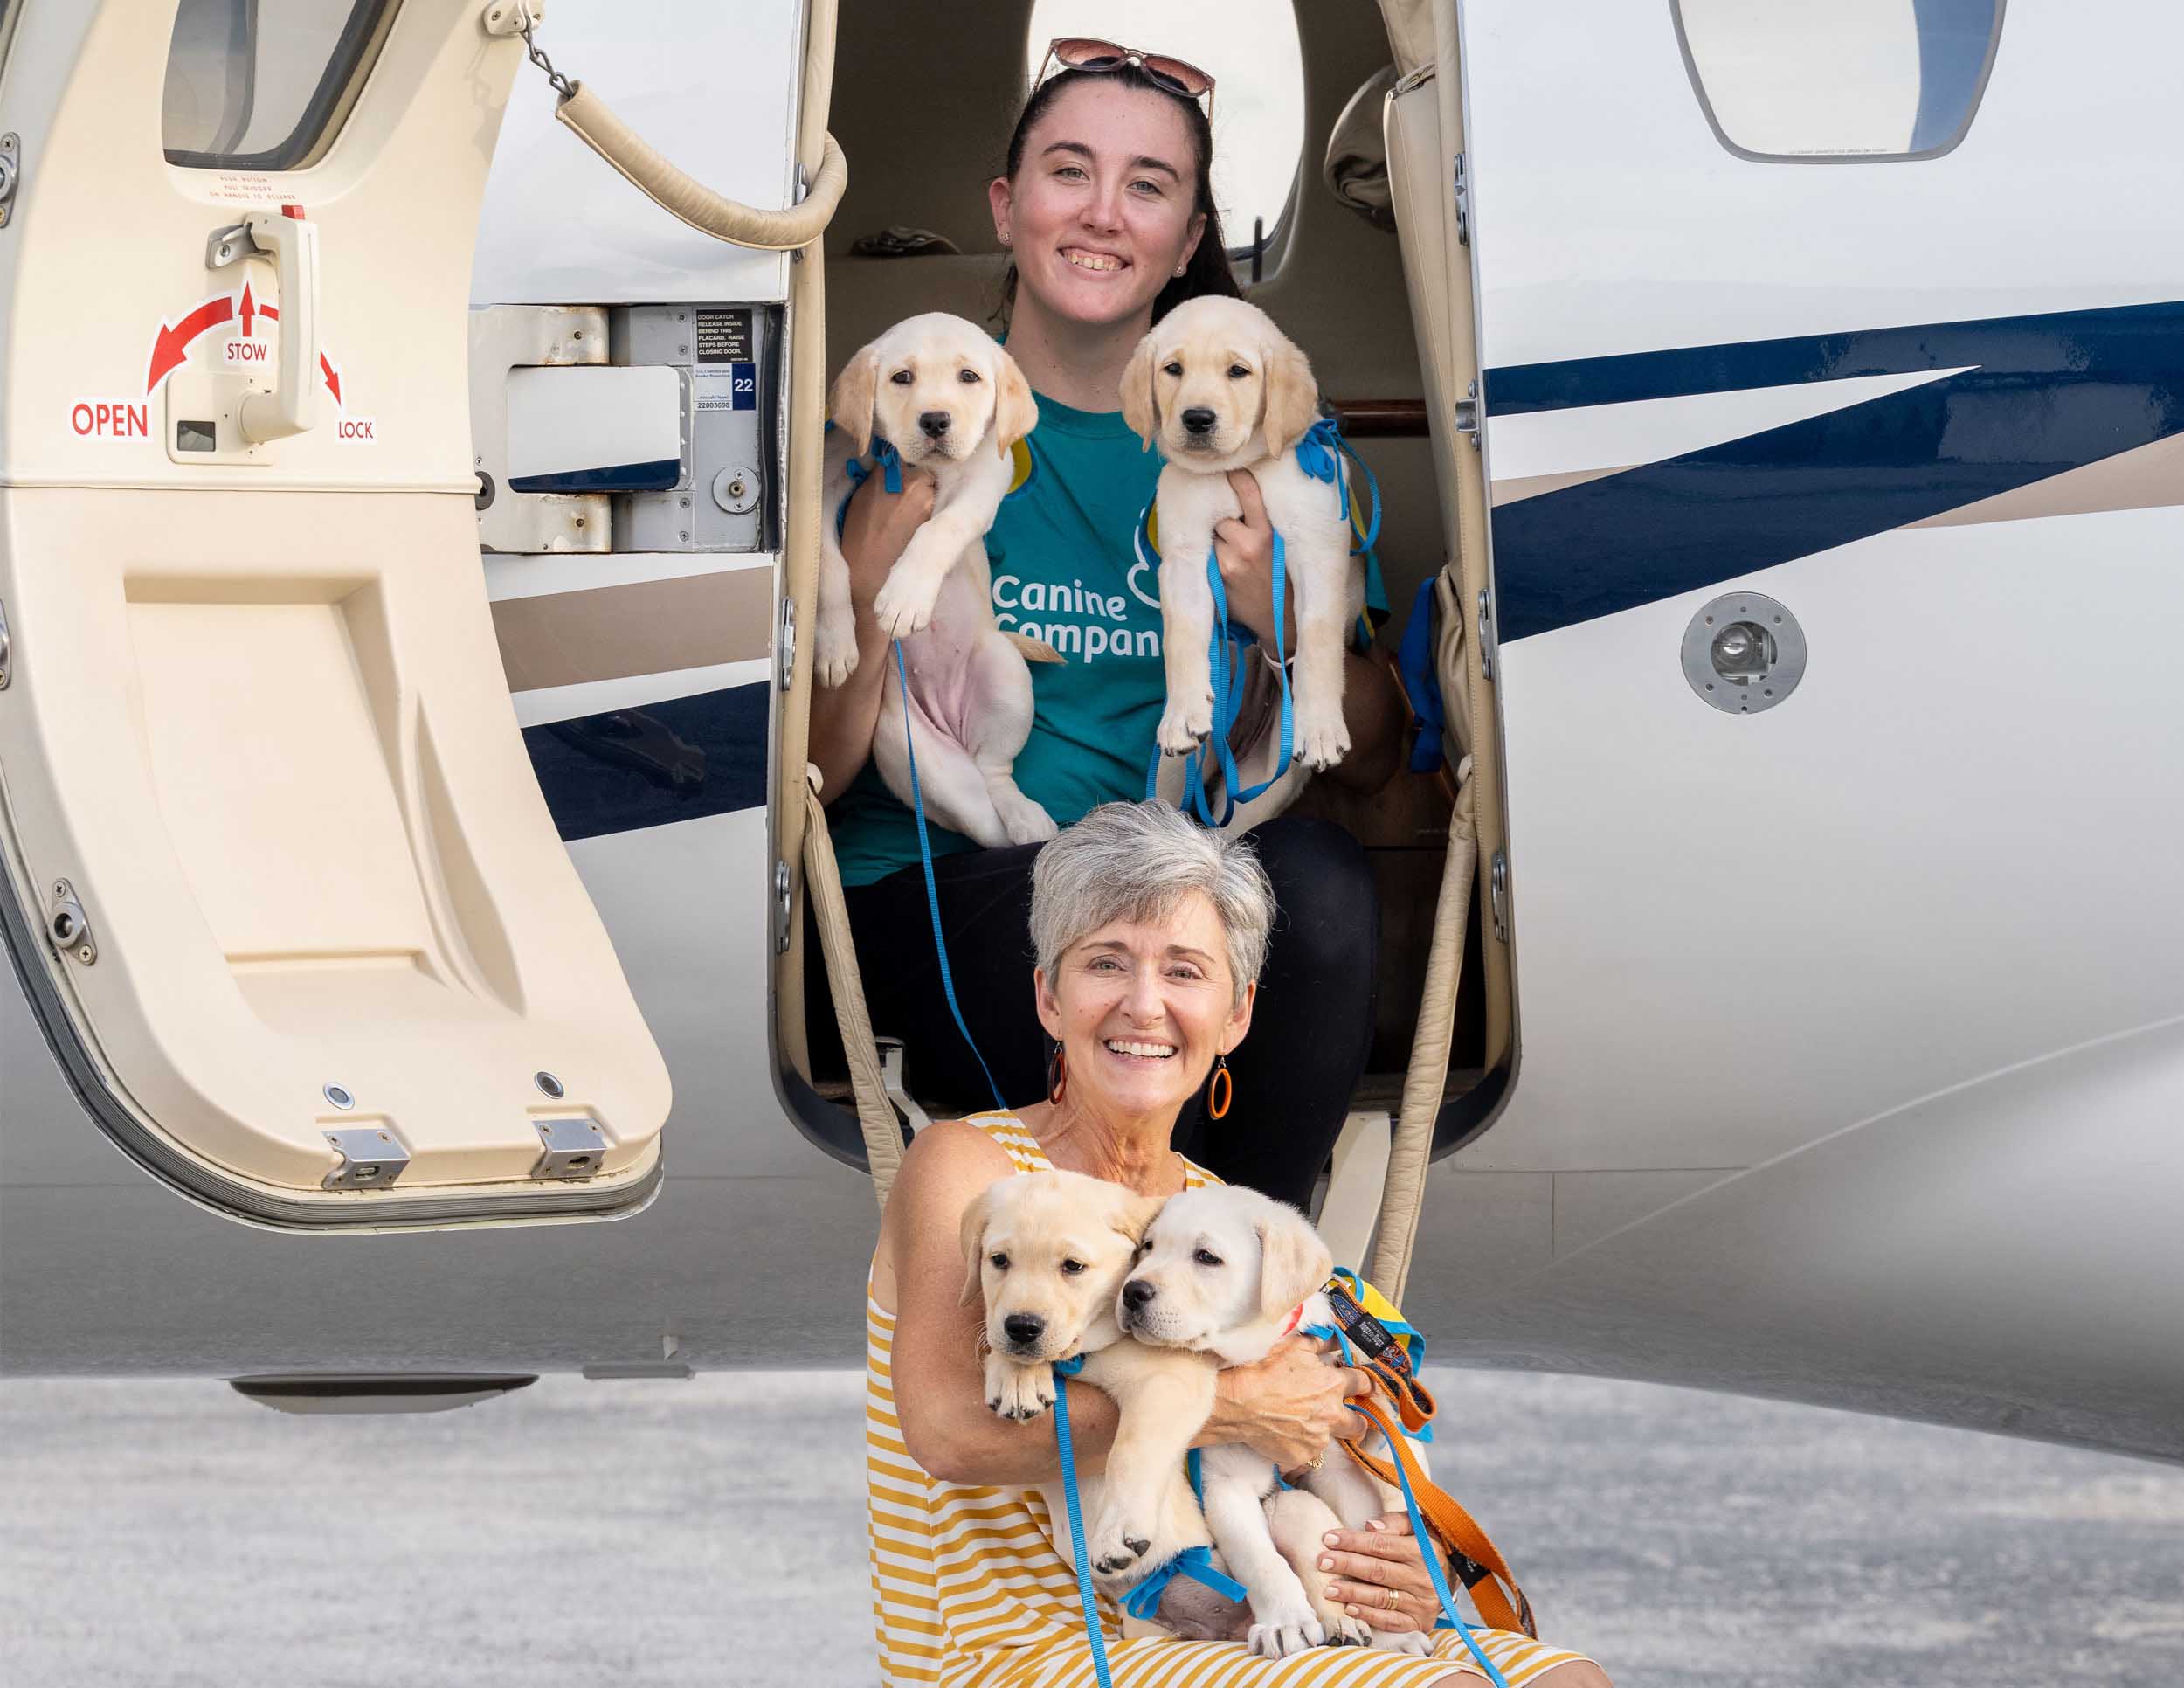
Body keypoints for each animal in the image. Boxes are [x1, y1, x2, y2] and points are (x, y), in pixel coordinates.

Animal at [817, 309, 1061, 851]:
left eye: (969, 377)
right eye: (901, 378)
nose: (934, 421)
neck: (913, 467)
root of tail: (957, 728)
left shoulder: (985, 479)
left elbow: (939, 529)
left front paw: (906, 596)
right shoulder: (827, 483)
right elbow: (831, 568)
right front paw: (835, 644)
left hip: (1005, 675)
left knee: (997, 774)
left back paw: (1029, 817)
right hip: (917, 760)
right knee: (985, 821)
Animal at [961, 1170, 1241, 1633]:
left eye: (1073, 1267)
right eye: (999, 1260)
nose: (1022, 1327)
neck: (1082, 1354)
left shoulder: (1169, 1380)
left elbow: (1129, 1451)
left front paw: (1121, 1530)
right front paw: (1017, 1375)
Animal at [1118, 1187, 1441, 1650]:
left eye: (1207, 1257)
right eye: (1148, 1247)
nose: (1131, 1292)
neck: (1259, 1350)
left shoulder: (1342, 1469)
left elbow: (1360, 1554)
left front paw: (1388, 1635)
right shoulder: (1226, 1483)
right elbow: (1261, 1560)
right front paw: (1285, 1623)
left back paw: (1347, 1626)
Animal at [1127, 299, 1363, 820]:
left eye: (1238, 371)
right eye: (1173, 369)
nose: (1197, 418)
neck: (1234, 469)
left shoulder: (1317, 549)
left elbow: (1317, 636)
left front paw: (1322, 726)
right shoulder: (1185, 558)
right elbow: (1181, 635)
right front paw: (1183, 709)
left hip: (1268, 781)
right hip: (1174, 776)